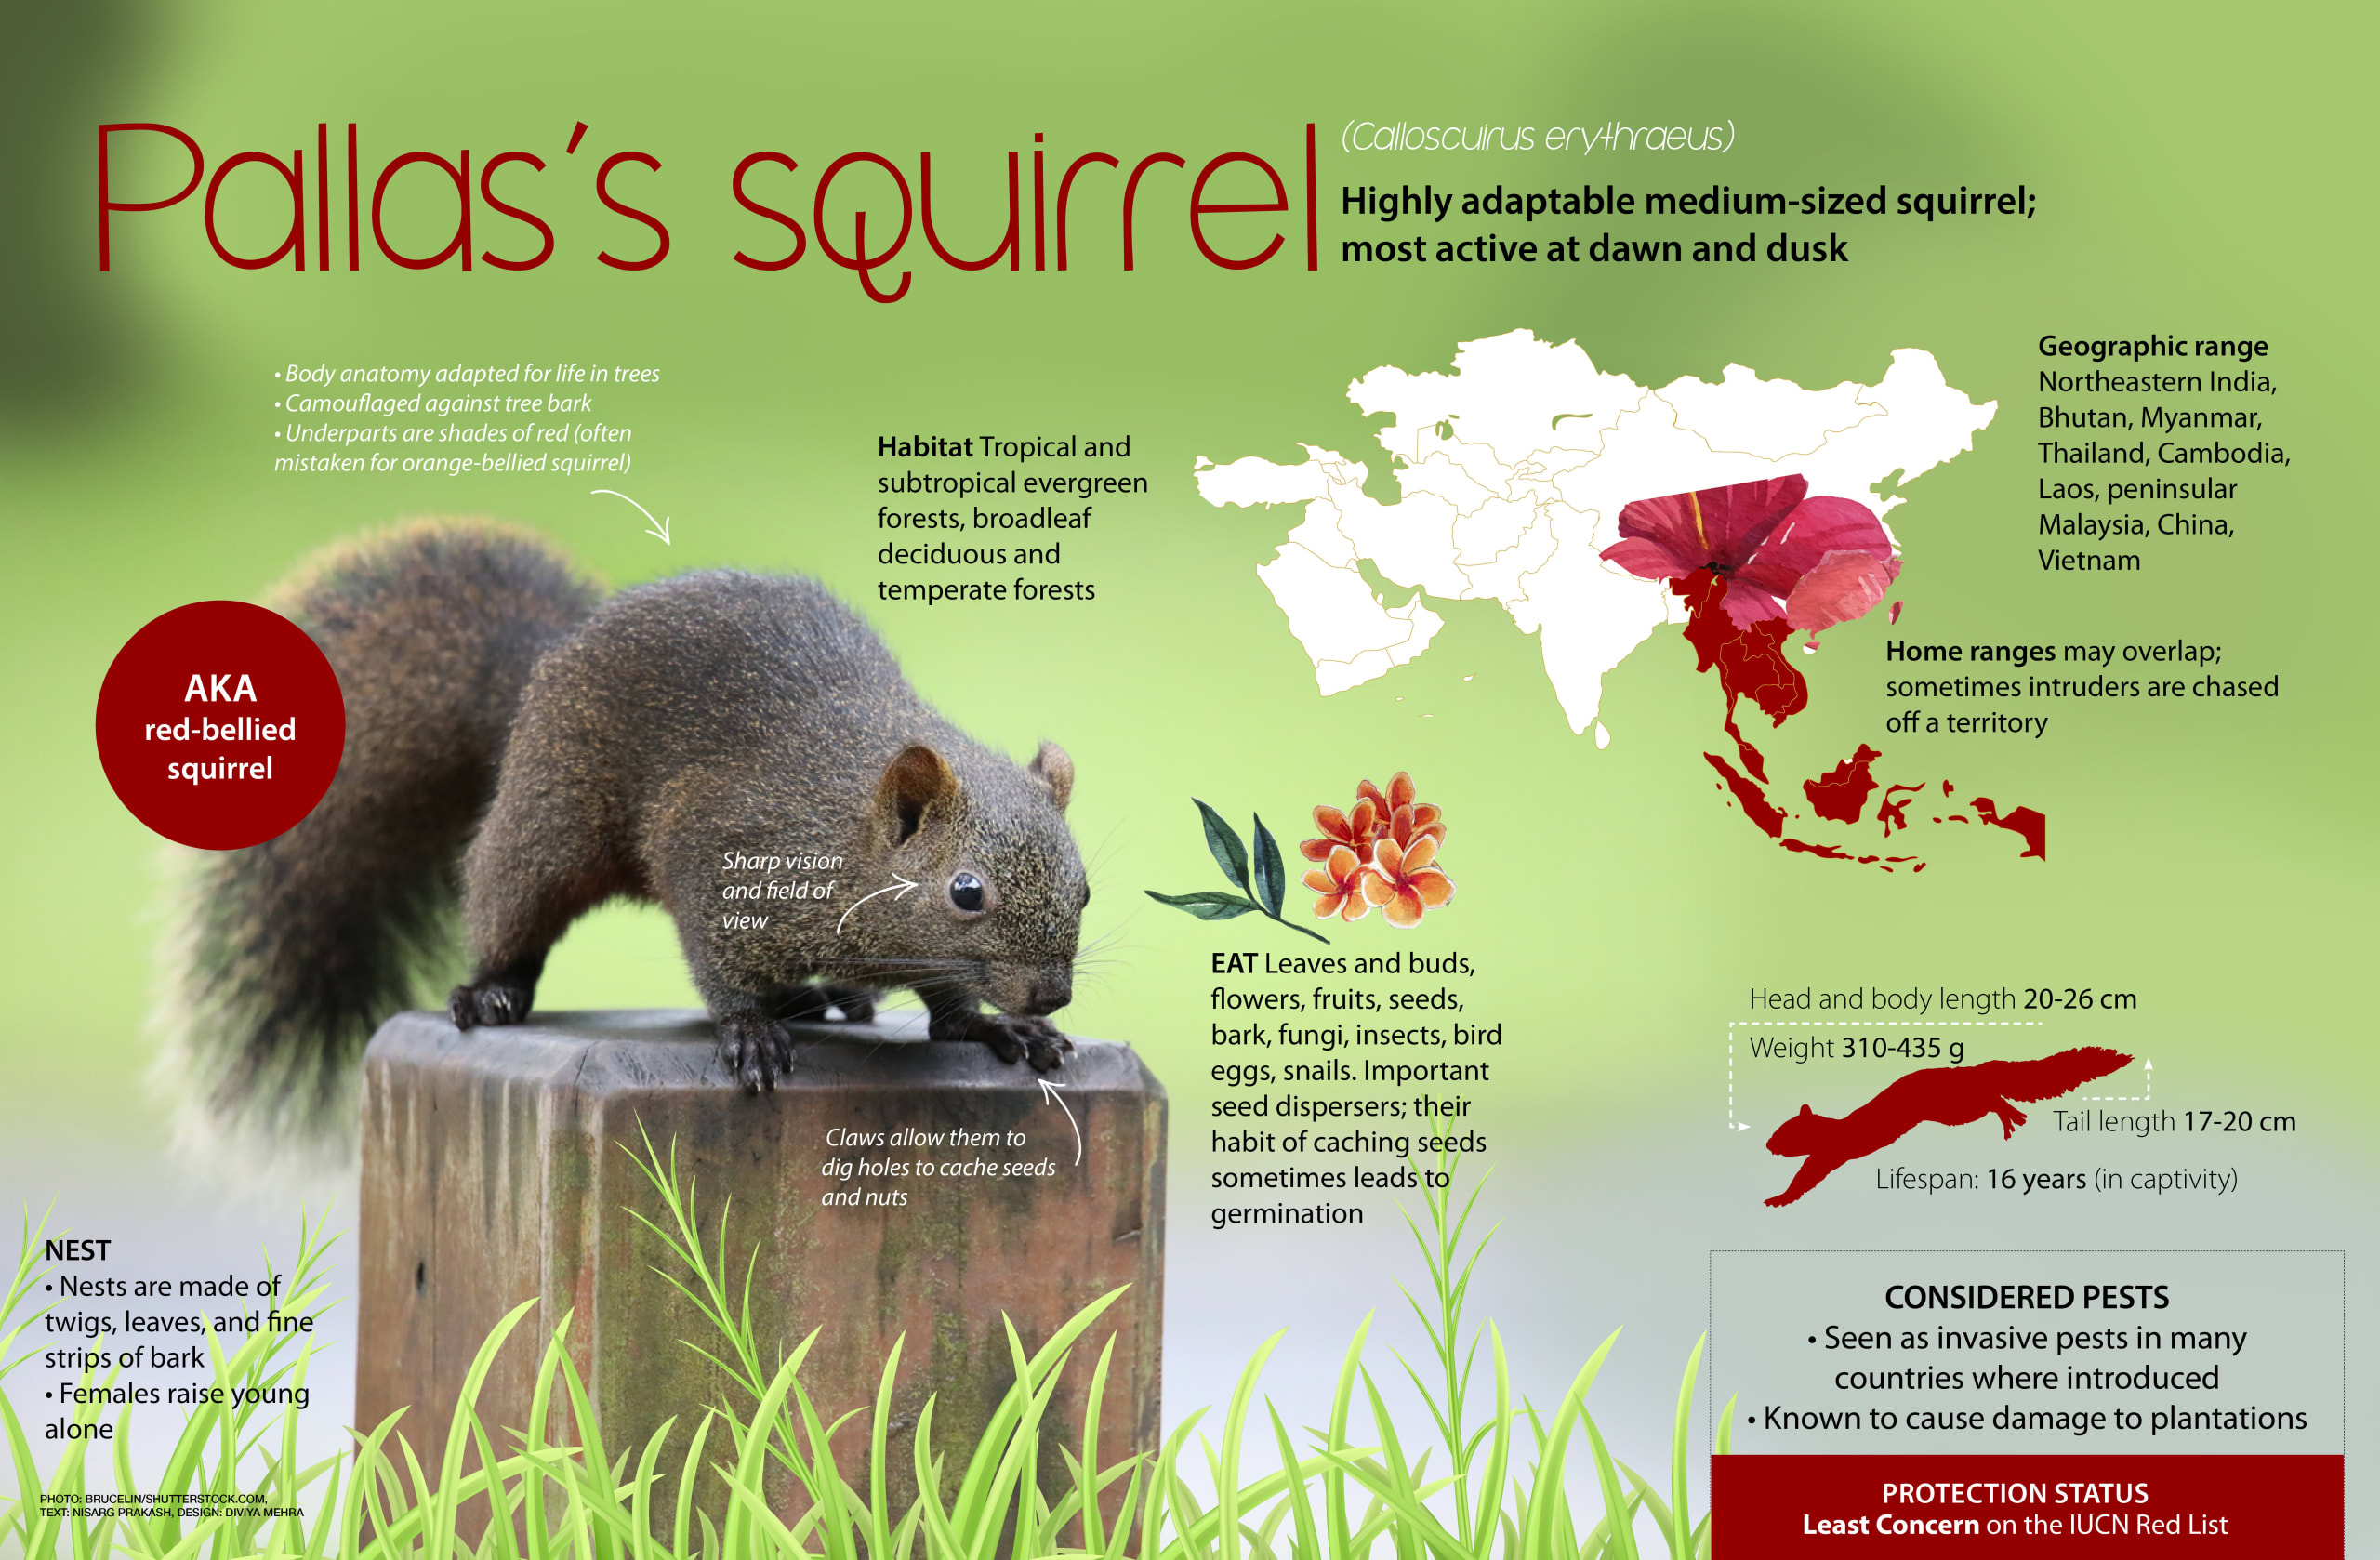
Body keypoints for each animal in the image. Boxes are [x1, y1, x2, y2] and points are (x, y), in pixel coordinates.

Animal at [156, 520, 1087, 1151]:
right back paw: (492, 992)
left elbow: (947, 1006)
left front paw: (1000, 1029)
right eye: (966, 892)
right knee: (507, 905)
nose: (1050, 993)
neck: (846, 830)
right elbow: (722, 967)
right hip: (547, 828)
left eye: (1083, 888)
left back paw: (827, 997)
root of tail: (540, 673)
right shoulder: (728, 859)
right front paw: (749, 1034)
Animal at [1762, 1047, 2131, 1207]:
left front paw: (1779, 1198)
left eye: (1783, 1134)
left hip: (1957, 1108)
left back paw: (2010, 1118)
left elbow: (1805, 1178)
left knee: (1993, 1099)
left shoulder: (1828, 1155)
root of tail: (1975, 1070)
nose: (1767, 1145)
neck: (1831, 1128)